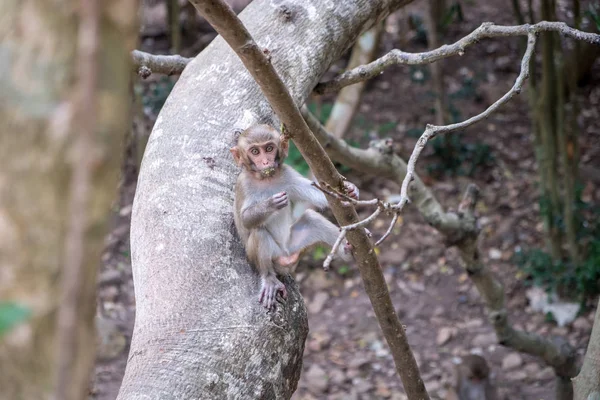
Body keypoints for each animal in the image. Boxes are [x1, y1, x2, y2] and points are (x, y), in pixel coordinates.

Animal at [231, 125, 358, 310]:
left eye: (269, 148)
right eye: (255, 151)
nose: (265, 162)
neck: (267, 179)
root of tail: (287, 258)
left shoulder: (287, 173)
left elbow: (318, 194)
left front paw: (350, 189)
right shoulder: (243, 184)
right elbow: (246, 220)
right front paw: (271, 203)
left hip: (294, 245)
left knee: (312, 218)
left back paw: (345, 250)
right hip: (273, 256)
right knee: (259, 232)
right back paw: (269, 278)